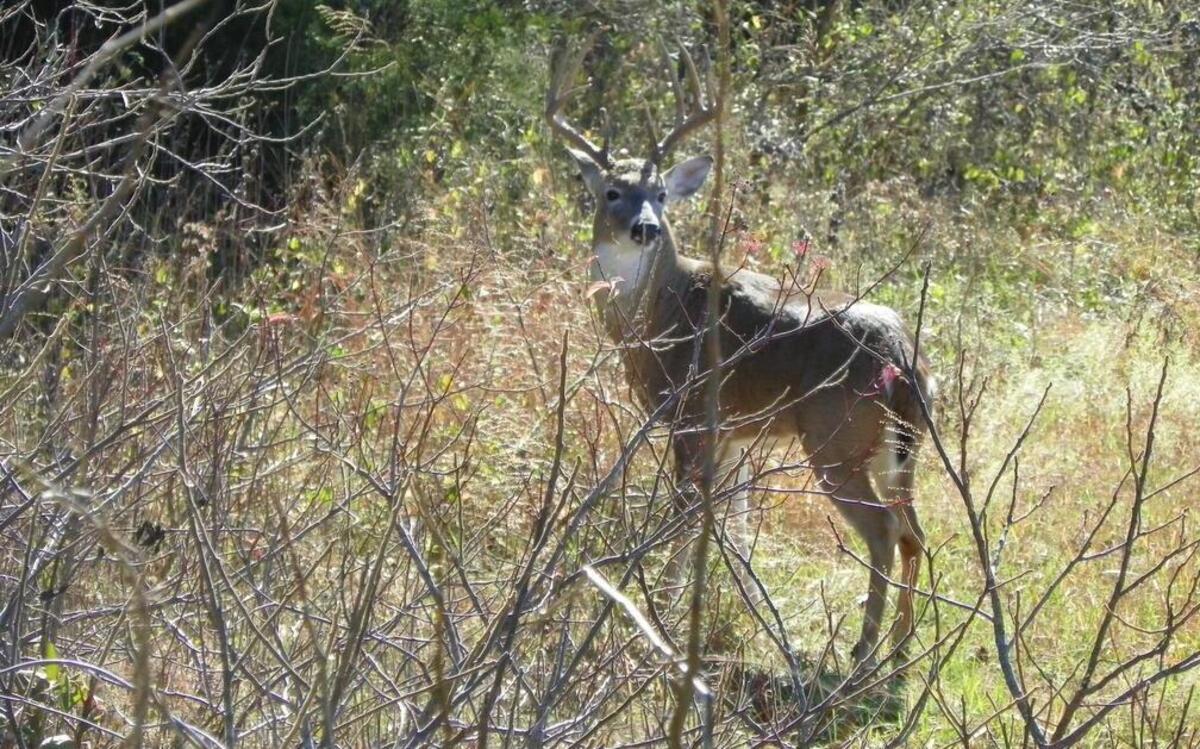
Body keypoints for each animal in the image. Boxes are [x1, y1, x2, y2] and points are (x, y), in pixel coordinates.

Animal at [546, 39, 936, 665]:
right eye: (611, 192)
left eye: (660, 194)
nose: (646, 227)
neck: (659, 316)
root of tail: (904, 359)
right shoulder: (734, 432)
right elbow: (735, 523)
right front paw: (747, 604)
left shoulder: (690, 417)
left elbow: (685, 519)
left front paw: (662, 613)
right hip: (906, 445)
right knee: (915, 531)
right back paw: (901, 649)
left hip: (835, 439)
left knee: (883, 531)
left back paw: (863, 649)